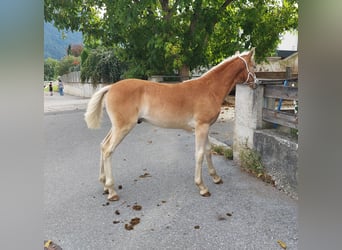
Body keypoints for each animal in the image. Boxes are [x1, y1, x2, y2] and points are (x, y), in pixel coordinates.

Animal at [85, 48, 256, 201]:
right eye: (254, 66)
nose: (257, 83)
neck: (209, 89)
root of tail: (111, 87)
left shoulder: (205, 127)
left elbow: (208, 150)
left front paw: (216, 177)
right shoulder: (201, 127)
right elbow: (199, 154)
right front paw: (202, 187)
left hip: (116, 127)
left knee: (103, 145)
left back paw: (104, 185)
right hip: (123, 127)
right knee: (108, 150)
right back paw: (112, 191)